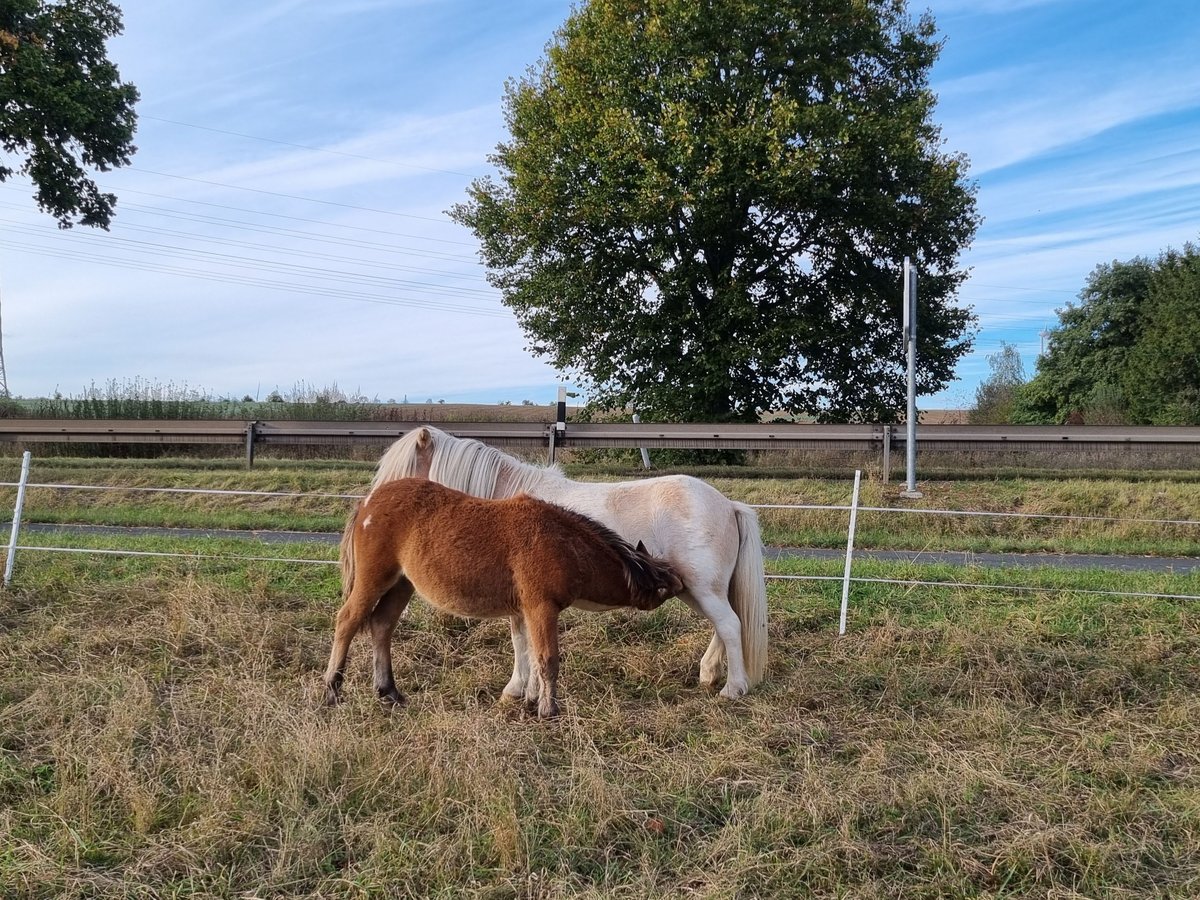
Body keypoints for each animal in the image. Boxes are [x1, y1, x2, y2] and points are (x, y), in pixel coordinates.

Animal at [364, 427, 768, 700]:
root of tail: (728, 504)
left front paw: (517, 689)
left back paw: (733, 688)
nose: (373, 509)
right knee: (723, 626)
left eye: (403, 468)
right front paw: (522, 689)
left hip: (703, 588)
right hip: (693, 590)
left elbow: (520, 642)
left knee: (730, 626)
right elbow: (523, 641)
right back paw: (708, 674)